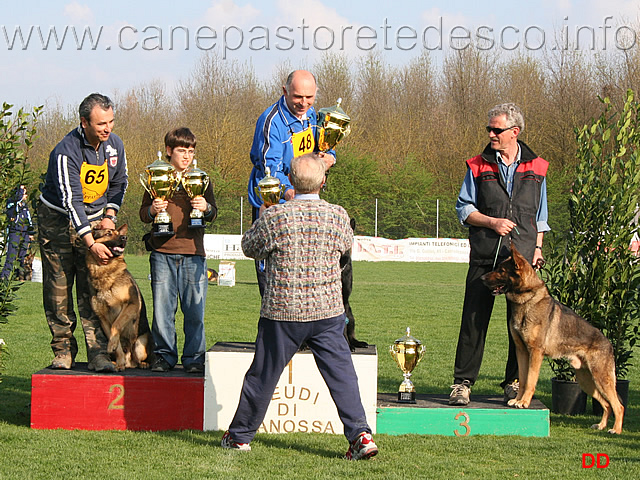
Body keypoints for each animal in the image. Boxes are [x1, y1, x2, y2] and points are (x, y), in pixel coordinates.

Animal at [85, 225, 154, 372]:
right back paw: (118, 362)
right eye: (108, 233)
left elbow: (116, 325)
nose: (124, 237)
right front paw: (119, 361)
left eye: (118, 233)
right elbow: (117, 347)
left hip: (140, 342)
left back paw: (142, 364)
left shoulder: (131, 306)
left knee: (136, 359)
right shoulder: (103, 319)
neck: (105, 272)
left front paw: (112, 345)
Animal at [482, 246, 624, 434]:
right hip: (587, 381)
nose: (481, 278)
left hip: (601, 379)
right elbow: (523, 379)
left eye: (501, 270)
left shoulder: (535, 353)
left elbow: (530, 380)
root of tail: (609, 344)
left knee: (618, 405)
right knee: (607, 404)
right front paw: (518, 400)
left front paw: (524, 402)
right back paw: (600, 425)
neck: (527, 300)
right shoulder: (521, 351)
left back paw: (616, 430)